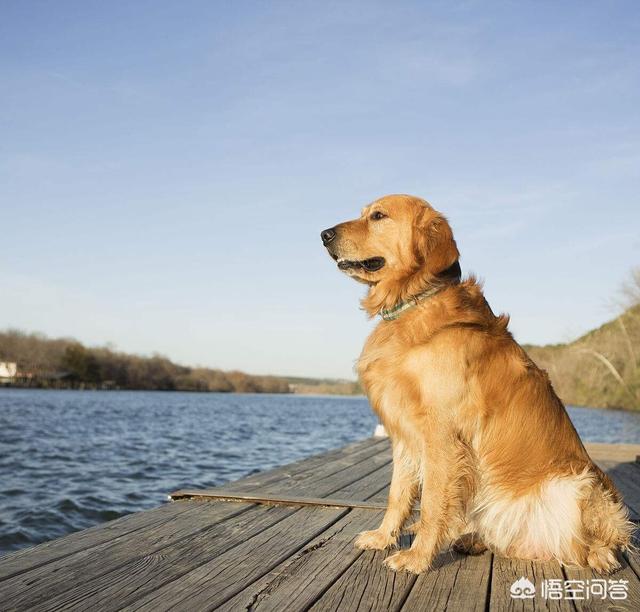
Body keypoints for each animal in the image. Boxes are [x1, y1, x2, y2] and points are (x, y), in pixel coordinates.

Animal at [322, 195, 632, 572]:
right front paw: (382, 538)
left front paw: (417, 557)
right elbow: (398, 494)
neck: (415, 302)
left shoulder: (441, 434)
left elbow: (431, 504)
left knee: (603, 537)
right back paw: (472, 540)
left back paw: (602, 555)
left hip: (579, 484)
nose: (324, 234)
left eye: (378, 216)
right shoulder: (405, 433)